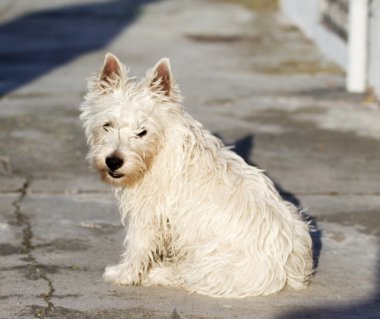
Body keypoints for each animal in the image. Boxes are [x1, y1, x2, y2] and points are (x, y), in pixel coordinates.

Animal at [79, 53, 312, 298]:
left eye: (142, 131)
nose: (113, 161)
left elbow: (137, 246)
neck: (159, 148)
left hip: (209, 256)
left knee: (189, 275)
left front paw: (123, 275)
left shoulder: (149, 214)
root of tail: (286, 271)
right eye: (107, 125)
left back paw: (159, 273)